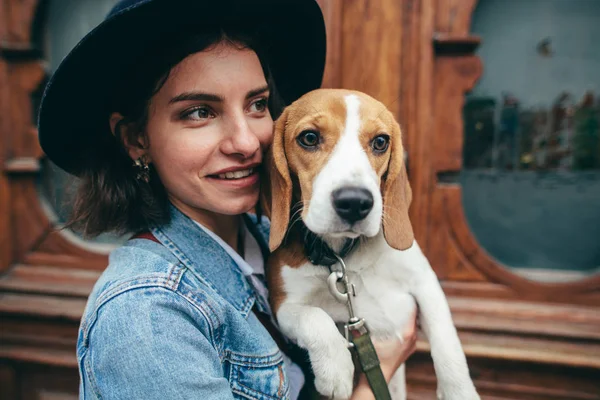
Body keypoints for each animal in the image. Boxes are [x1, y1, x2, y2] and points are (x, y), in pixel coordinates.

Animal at [262, 90, 478, 400]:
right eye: (309, 138)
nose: (355, 202)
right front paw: (335, 368)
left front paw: (460, 391)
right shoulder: (283, 305)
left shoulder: (426, 282)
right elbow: (313, 317)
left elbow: (447, 343)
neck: (344, 256)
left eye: (380, 142)